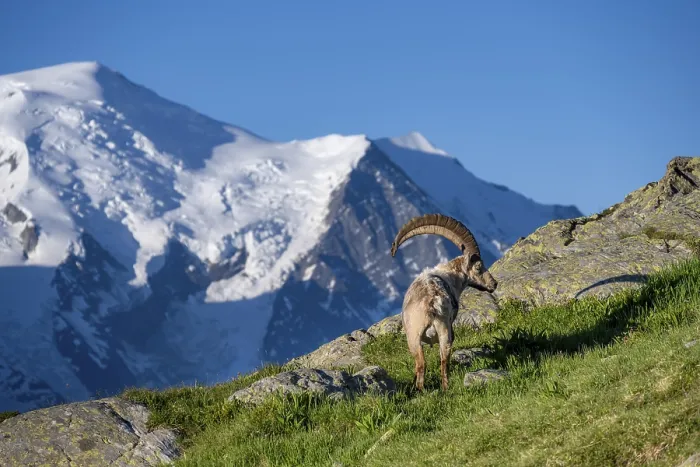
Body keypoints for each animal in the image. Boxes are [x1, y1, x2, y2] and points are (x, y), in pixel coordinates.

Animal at [391, 213, 498, 391]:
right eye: (478, 267)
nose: (494, 284)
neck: (449, 275)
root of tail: (431, 304)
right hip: (441, 331)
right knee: (443, 359)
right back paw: (444, 388)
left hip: (416, 336)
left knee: (422, 363)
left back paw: (422, 390)